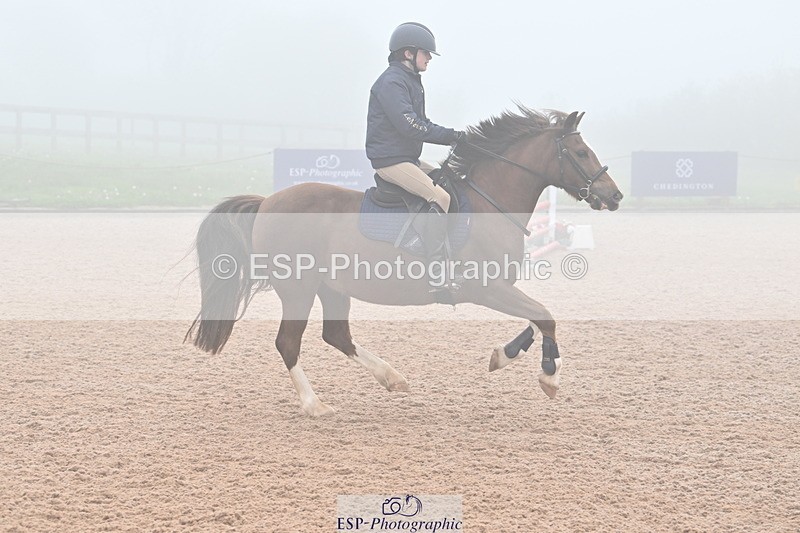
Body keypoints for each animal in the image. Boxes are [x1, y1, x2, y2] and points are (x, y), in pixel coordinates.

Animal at [185, 107, 623, 416]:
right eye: (581, 152)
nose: (615, 195)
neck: (489, 203)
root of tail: (267, 202)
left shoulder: (501, 287)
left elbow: (536, 318)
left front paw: (504, 355)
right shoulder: (487, 288)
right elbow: (545, 316)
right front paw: (549, 377)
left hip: (331, 287)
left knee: (337, 335)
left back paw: (391, 378)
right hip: (298, 289)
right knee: (288, 342)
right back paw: (315, 405)